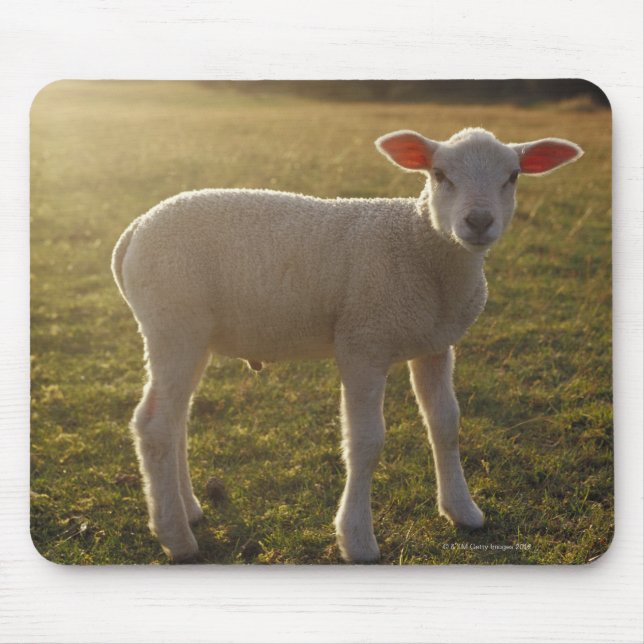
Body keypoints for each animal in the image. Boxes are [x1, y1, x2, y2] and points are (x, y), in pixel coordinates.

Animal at [111, 127, 583, 563]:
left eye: (513, 176)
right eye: (439, 174)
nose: (479, 221)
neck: (422, 245)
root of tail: (134, 230)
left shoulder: (435, 345)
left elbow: (446, 425)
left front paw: (462, 511)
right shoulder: (363, 343)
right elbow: (365, 442)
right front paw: (356, 540)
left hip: (191, 333)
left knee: (176, 418)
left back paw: (188, 510)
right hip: (173, 324)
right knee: (153, 424)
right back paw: (176, 537)